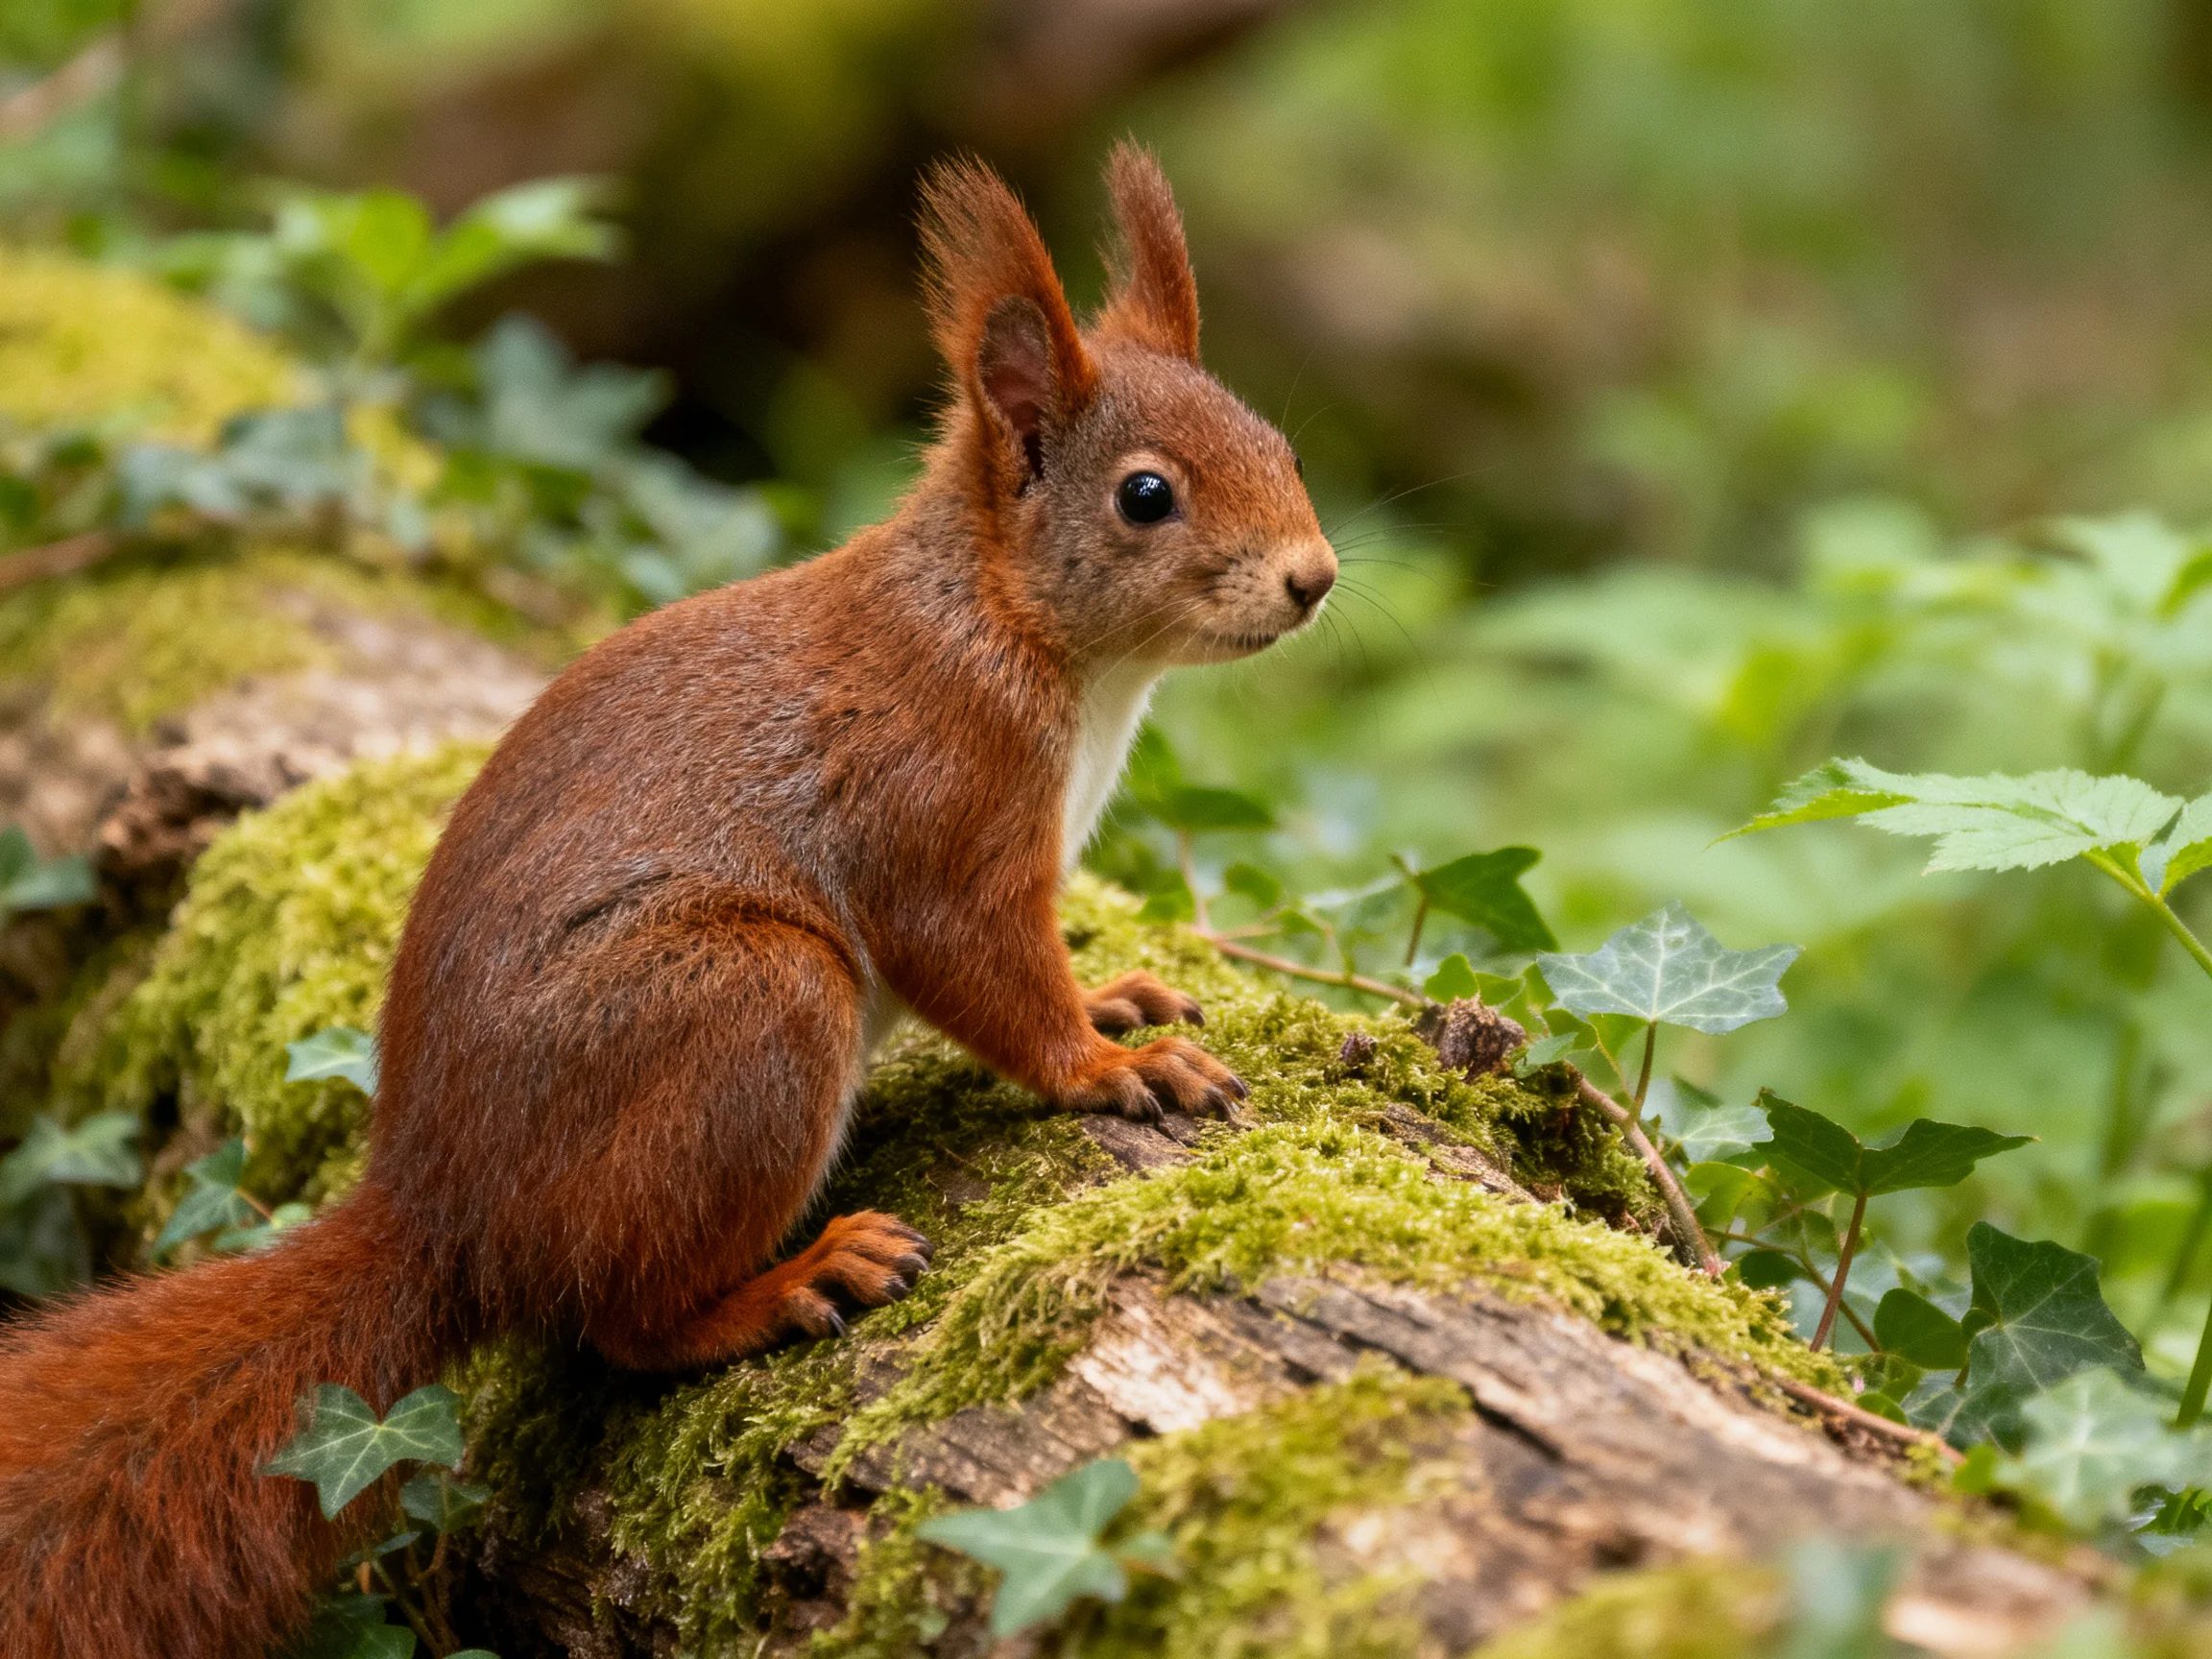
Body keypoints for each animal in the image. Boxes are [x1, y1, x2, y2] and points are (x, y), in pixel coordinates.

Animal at [0, 145, 1334, 1656]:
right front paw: (1111, 1066)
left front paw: (1117, 995)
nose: (1314, 577)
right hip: (745, 1008)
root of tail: (444, 1211)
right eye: (1146, 497)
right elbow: (986, 973)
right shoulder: (935, 809)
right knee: (622, 1322)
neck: (1019, 630)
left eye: (1281, 447)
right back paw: (789, 1283)